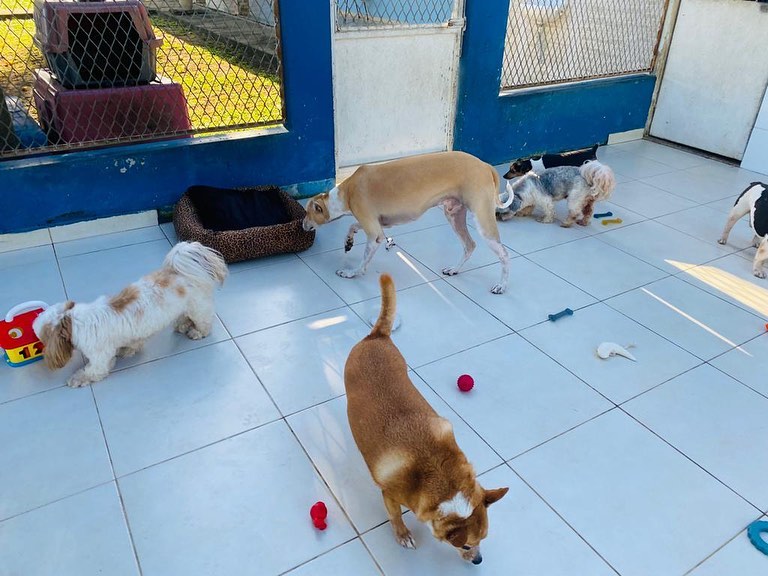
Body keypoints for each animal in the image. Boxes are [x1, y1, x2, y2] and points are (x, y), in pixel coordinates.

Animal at [35, 241, 228, 384]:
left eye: (42, 337)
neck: (72, 321)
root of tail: (183, 271)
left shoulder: (99, 357)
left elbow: (92, 371)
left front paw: (77, 379)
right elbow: (132, 344)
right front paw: (127, 350)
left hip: (198, 308)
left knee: (204, 323)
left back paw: (196, 332)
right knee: (183, 318)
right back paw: (182, 325)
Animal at [304, 150, 512, 292]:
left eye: (307, 213)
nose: (302, 225)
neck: (347, 192)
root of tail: (485, 166)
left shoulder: (375, 234)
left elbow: (363, 263)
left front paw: (350, 272)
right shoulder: (379, 225)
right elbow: (353, 225)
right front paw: (348, 241)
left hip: (482, 221)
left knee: (504, 253)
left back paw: (502, 285)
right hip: (454, 215)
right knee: (470, 245)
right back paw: (454, 269)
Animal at [344, 274, 508, 564]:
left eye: (484, 539)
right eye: (467, 546)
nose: (478, 561)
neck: (440, 476)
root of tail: (376, 335)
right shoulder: (389, 496)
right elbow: (395, 516)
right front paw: (402, 534)